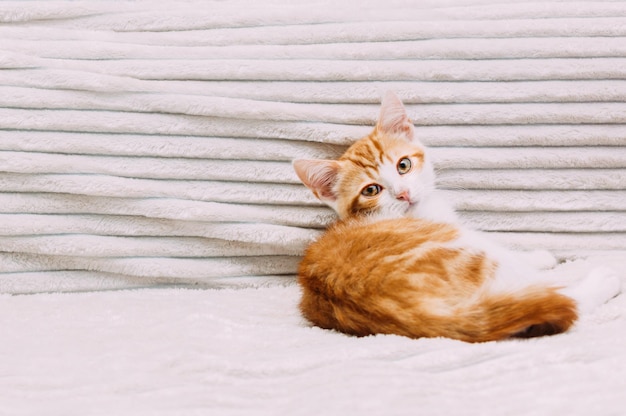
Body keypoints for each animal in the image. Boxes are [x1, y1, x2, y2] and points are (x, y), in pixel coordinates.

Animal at [292, 91, 620, 342]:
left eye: (403, 165)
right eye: (371, 190)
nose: (403, 194)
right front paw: (541, 257)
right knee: (555, 296)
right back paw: (601, 279)